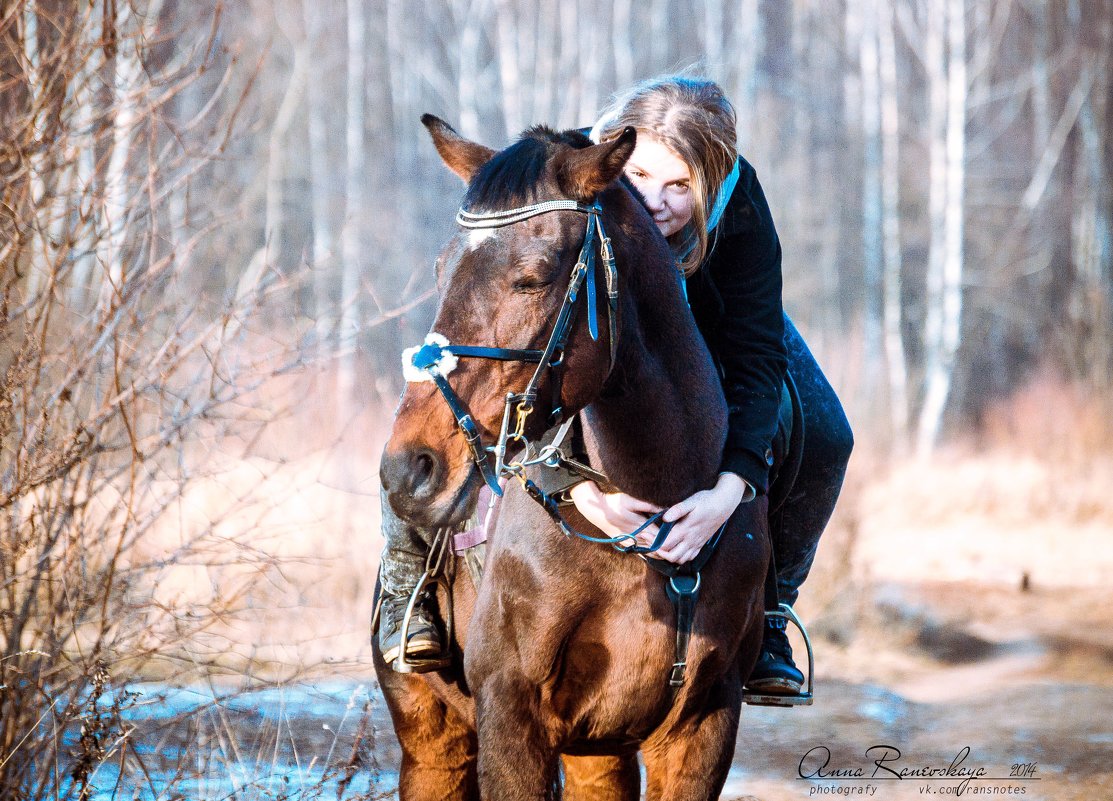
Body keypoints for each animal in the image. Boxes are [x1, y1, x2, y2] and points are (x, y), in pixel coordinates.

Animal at [378, 117, 770, 800]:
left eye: (532, 277)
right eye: (441, 269)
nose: (408, 469)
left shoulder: (703, 727)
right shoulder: (511, 719)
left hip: (599, 751)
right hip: (432, 745)